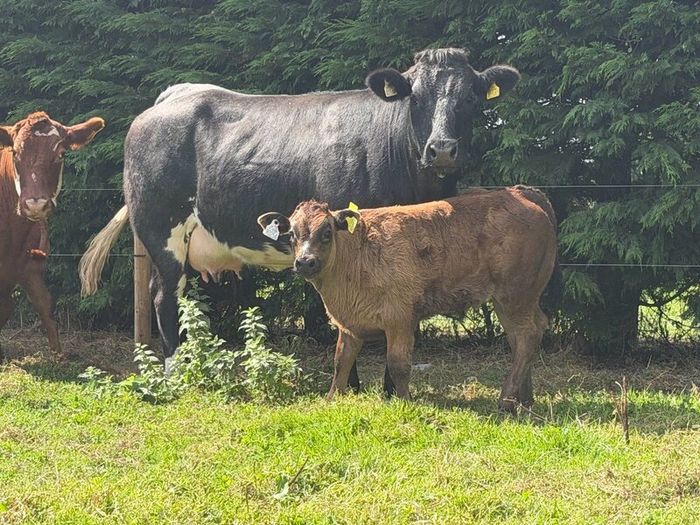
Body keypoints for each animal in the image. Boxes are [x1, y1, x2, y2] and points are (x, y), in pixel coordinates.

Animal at [0, 112, 105, 359]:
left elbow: (44, 304)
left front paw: (58, 355)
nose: (35, 204)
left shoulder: (30, 267)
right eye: (15, 153)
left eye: (61, 154)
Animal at [79, 48, 520, 374]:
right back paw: (177, 372)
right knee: (163, 297)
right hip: (160, 228)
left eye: (469, 98)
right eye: (416, 96)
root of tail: (174, 96)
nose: (441, 149)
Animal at [257, 186, 559, 412]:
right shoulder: (349, 325)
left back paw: (506, 400)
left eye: (327, 232)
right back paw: (524, 398)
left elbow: (398, 364)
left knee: (527, 335)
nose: (305, 262)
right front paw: (332, 399)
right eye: (291, 234)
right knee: (522, 337)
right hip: (516, 299)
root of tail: (520, 193)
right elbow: (341, 360)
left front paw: (404, 400)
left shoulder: (400, 319)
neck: (356, 256)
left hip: (514, 295)